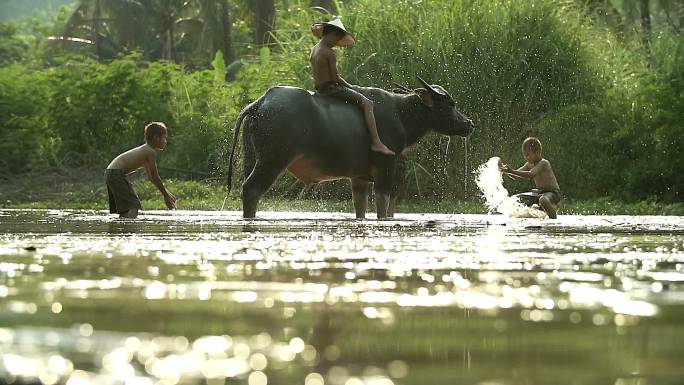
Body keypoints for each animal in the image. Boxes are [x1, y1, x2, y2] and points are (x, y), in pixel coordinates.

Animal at [227, 76, 472, 218]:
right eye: (449, 104)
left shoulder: (359, 178)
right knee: (251, 190)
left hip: (252, 158)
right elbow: (382, 209)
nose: (469, 124)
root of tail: (261, 102)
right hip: (272, 160)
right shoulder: (385, 169)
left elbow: (360, 209)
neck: (401, 115)